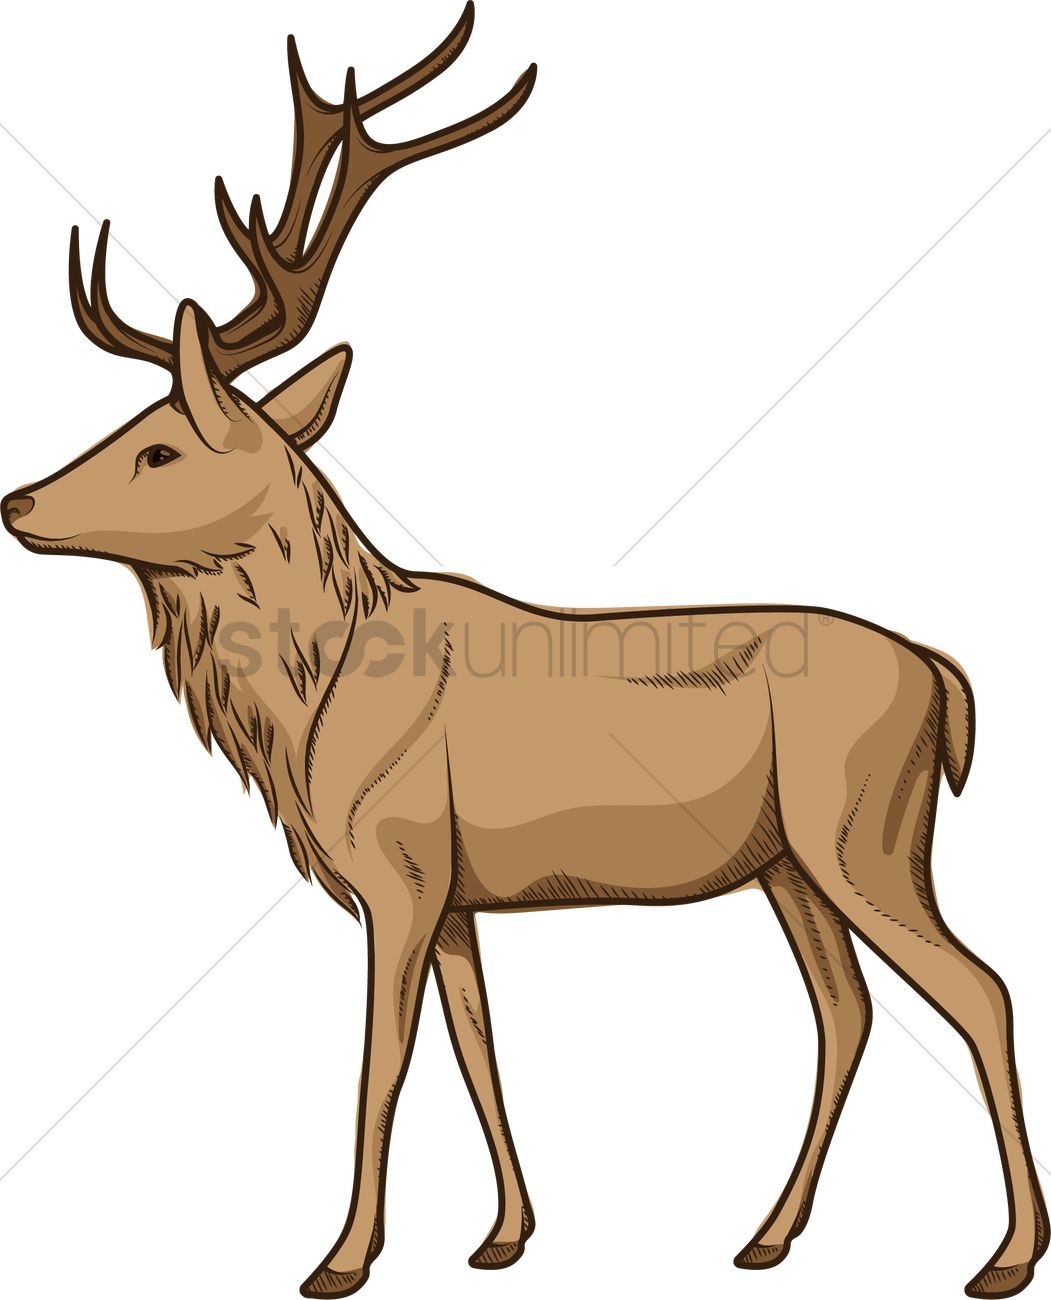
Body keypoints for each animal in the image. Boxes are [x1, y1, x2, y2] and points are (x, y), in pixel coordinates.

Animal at [2, 7, 1046, 1298]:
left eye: (158, 448)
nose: (17, 501)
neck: (307, 715)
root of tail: (944, 679)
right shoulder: (455, 894)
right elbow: (478, 1049)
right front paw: (504, 1234)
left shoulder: (396, 870)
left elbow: (382, 1063)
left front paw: (339, 1259)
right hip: (790, 863)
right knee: (845, 1009)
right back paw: (763, 1233)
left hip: (866, 834)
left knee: (982, 989)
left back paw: (1002, 1255)